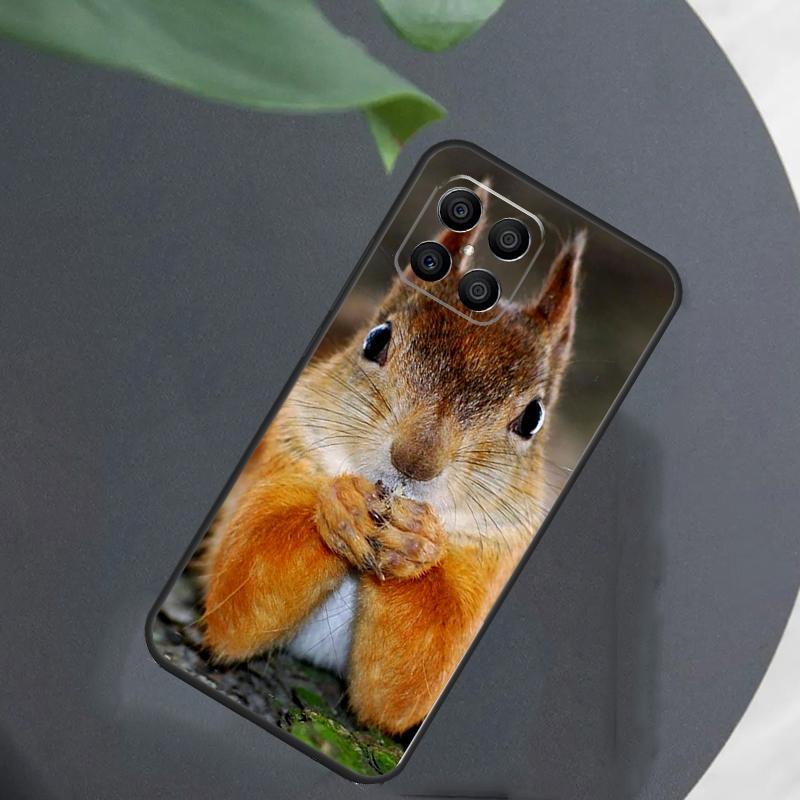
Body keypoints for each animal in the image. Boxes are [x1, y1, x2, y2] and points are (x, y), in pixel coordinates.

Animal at [200, 207, 584, 736]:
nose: (415, 462)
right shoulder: (283, 450)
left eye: (533, 418)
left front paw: (414, 542)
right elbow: (240, 595)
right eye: (376, 339)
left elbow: (410, 680)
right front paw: (342, 507)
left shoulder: (496, 557)